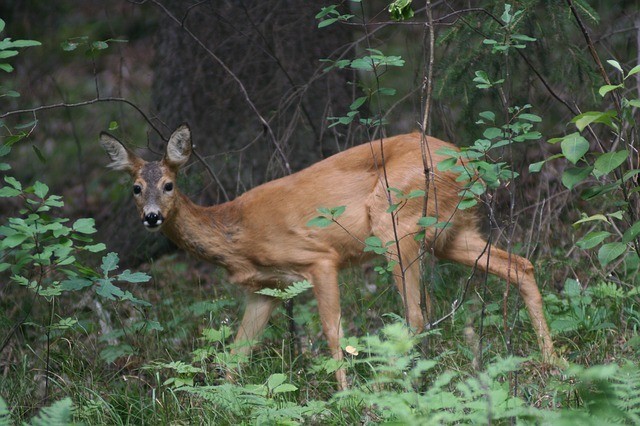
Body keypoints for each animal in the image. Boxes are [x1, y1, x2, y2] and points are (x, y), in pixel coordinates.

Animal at [100, 123, 556, 390]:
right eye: (136, 188)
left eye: (170, 185)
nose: (152, 218)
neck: (235, 232)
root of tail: (469, 162)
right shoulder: (264, 289)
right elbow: (237, 353)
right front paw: (221, 401)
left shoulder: (318, 258)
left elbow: (333, 332)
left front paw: (344, 396)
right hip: (451, 232)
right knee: (521, 266)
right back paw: (553, 362)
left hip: (395, 219)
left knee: (415, 315)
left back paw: (382, 387)